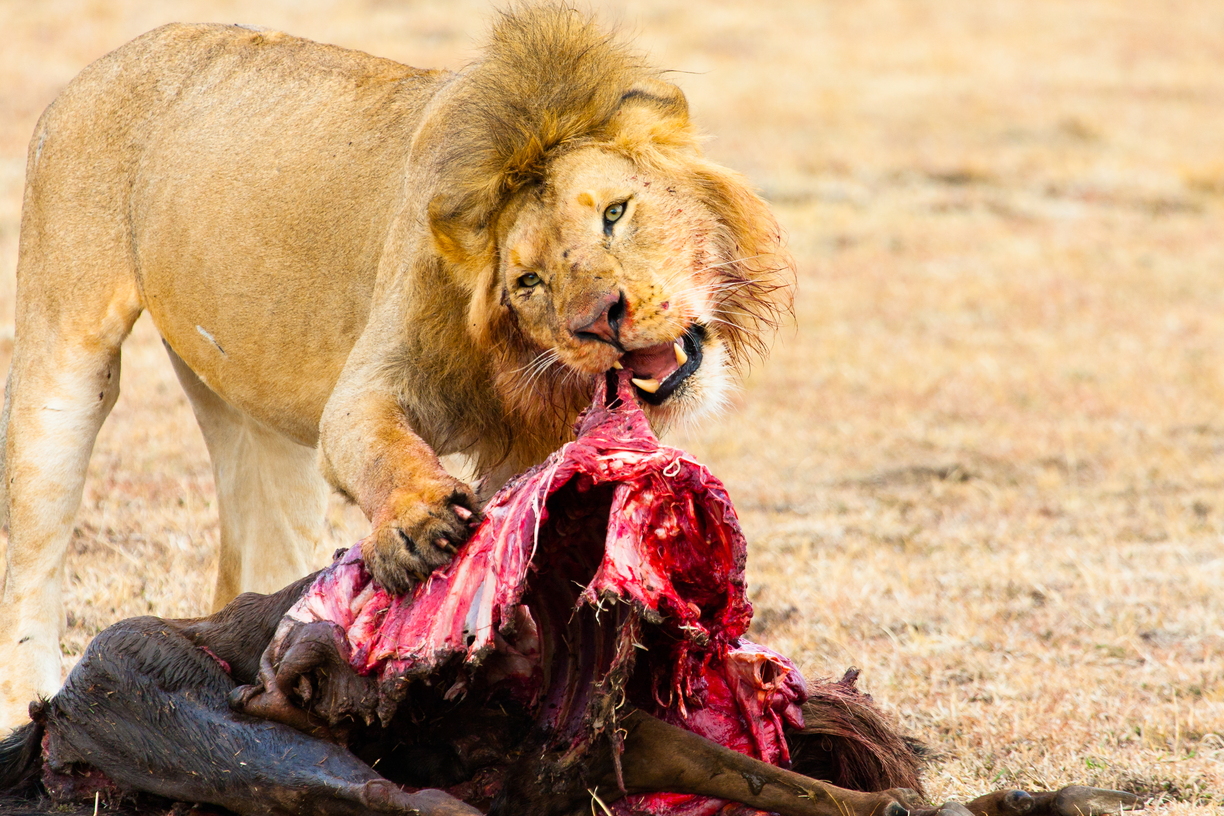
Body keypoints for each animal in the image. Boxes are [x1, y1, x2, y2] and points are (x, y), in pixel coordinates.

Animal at [0, 5, 791, 730]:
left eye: (616, 213)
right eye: (528, 282)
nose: (600, 320)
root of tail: (114, 57)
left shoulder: (532, 453)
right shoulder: (376, 374)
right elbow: (374, 441)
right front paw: (417, 526)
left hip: (253, 421)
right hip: (61, 359)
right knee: (31, 559)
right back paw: (31, 707)